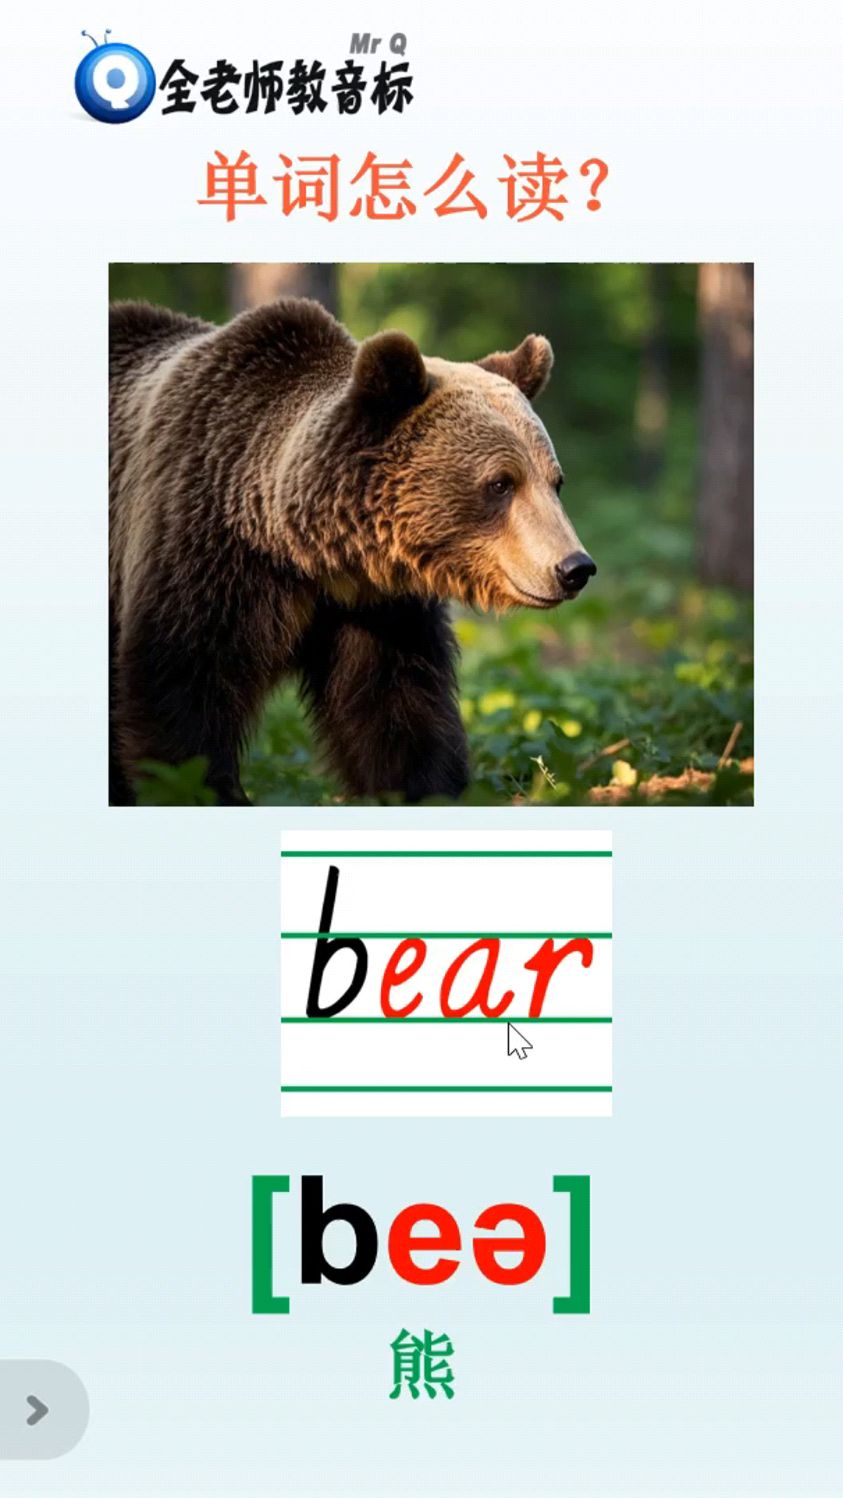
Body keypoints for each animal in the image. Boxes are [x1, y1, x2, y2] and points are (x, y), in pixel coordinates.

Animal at [109, 296, 595, 806]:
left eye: (555, 481)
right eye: (501, 482)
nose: (574, 567)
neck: (300, 549)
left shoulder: (377, 605)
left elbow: (394, 706)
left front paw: (422, 789)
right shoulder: (203, 545)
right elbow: (182, 693)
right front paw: (208, 790)